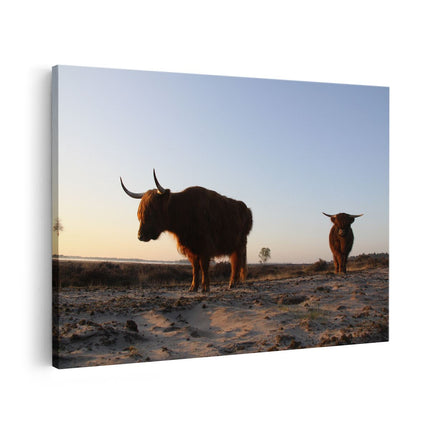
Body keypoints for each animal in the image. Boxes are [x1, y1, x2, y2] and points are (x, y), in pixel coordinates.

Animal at [118, 170, 252, 294]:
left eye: (152, 211)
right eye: (139, 214)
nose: (140, 236)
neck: (184, 211)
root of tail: (246, 208)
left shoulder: (205, 246)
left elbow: (204, 266)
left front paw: (205, 288)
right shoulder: (191, 248)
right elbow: (195, 268)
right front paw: (193, 287)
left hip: (240, 244)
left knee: (236, 262)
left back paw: (232, 283)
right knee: (234, 262)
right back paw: (233, 284)